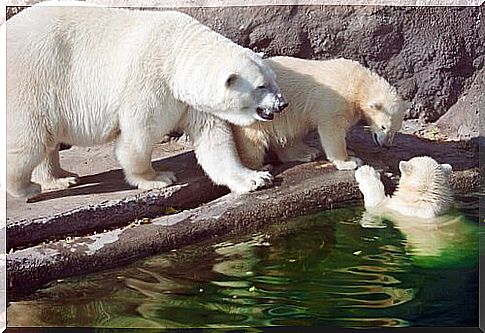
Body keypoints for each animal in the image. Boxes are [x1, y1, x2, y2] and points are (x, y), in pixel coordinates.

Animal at [5, 3, 288, 198]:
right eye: (261, 86)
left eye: (274, 79)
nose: (282, 104)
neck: (177, 52)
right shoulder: (150, 81)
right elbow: (139, 134)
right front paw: (157, 178)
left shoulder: (190, 102)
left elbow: (215, 139)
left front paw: (255, 178)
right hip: (34, 78)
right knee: (30, 140)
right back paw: (26, 188)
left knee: (46, 140)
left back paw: (59, 178)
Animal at [231, 56, 404, 170]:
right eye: (383, 127)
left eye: (395, 130)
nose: (386, 145)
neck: (358, 82)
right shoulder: (335, 100)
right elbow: (332, 130)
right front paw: (350, 161)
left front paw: (350, 151)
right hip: (257, 115)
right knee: (253, 141)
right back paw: (259, 168)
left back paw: (306, 153)